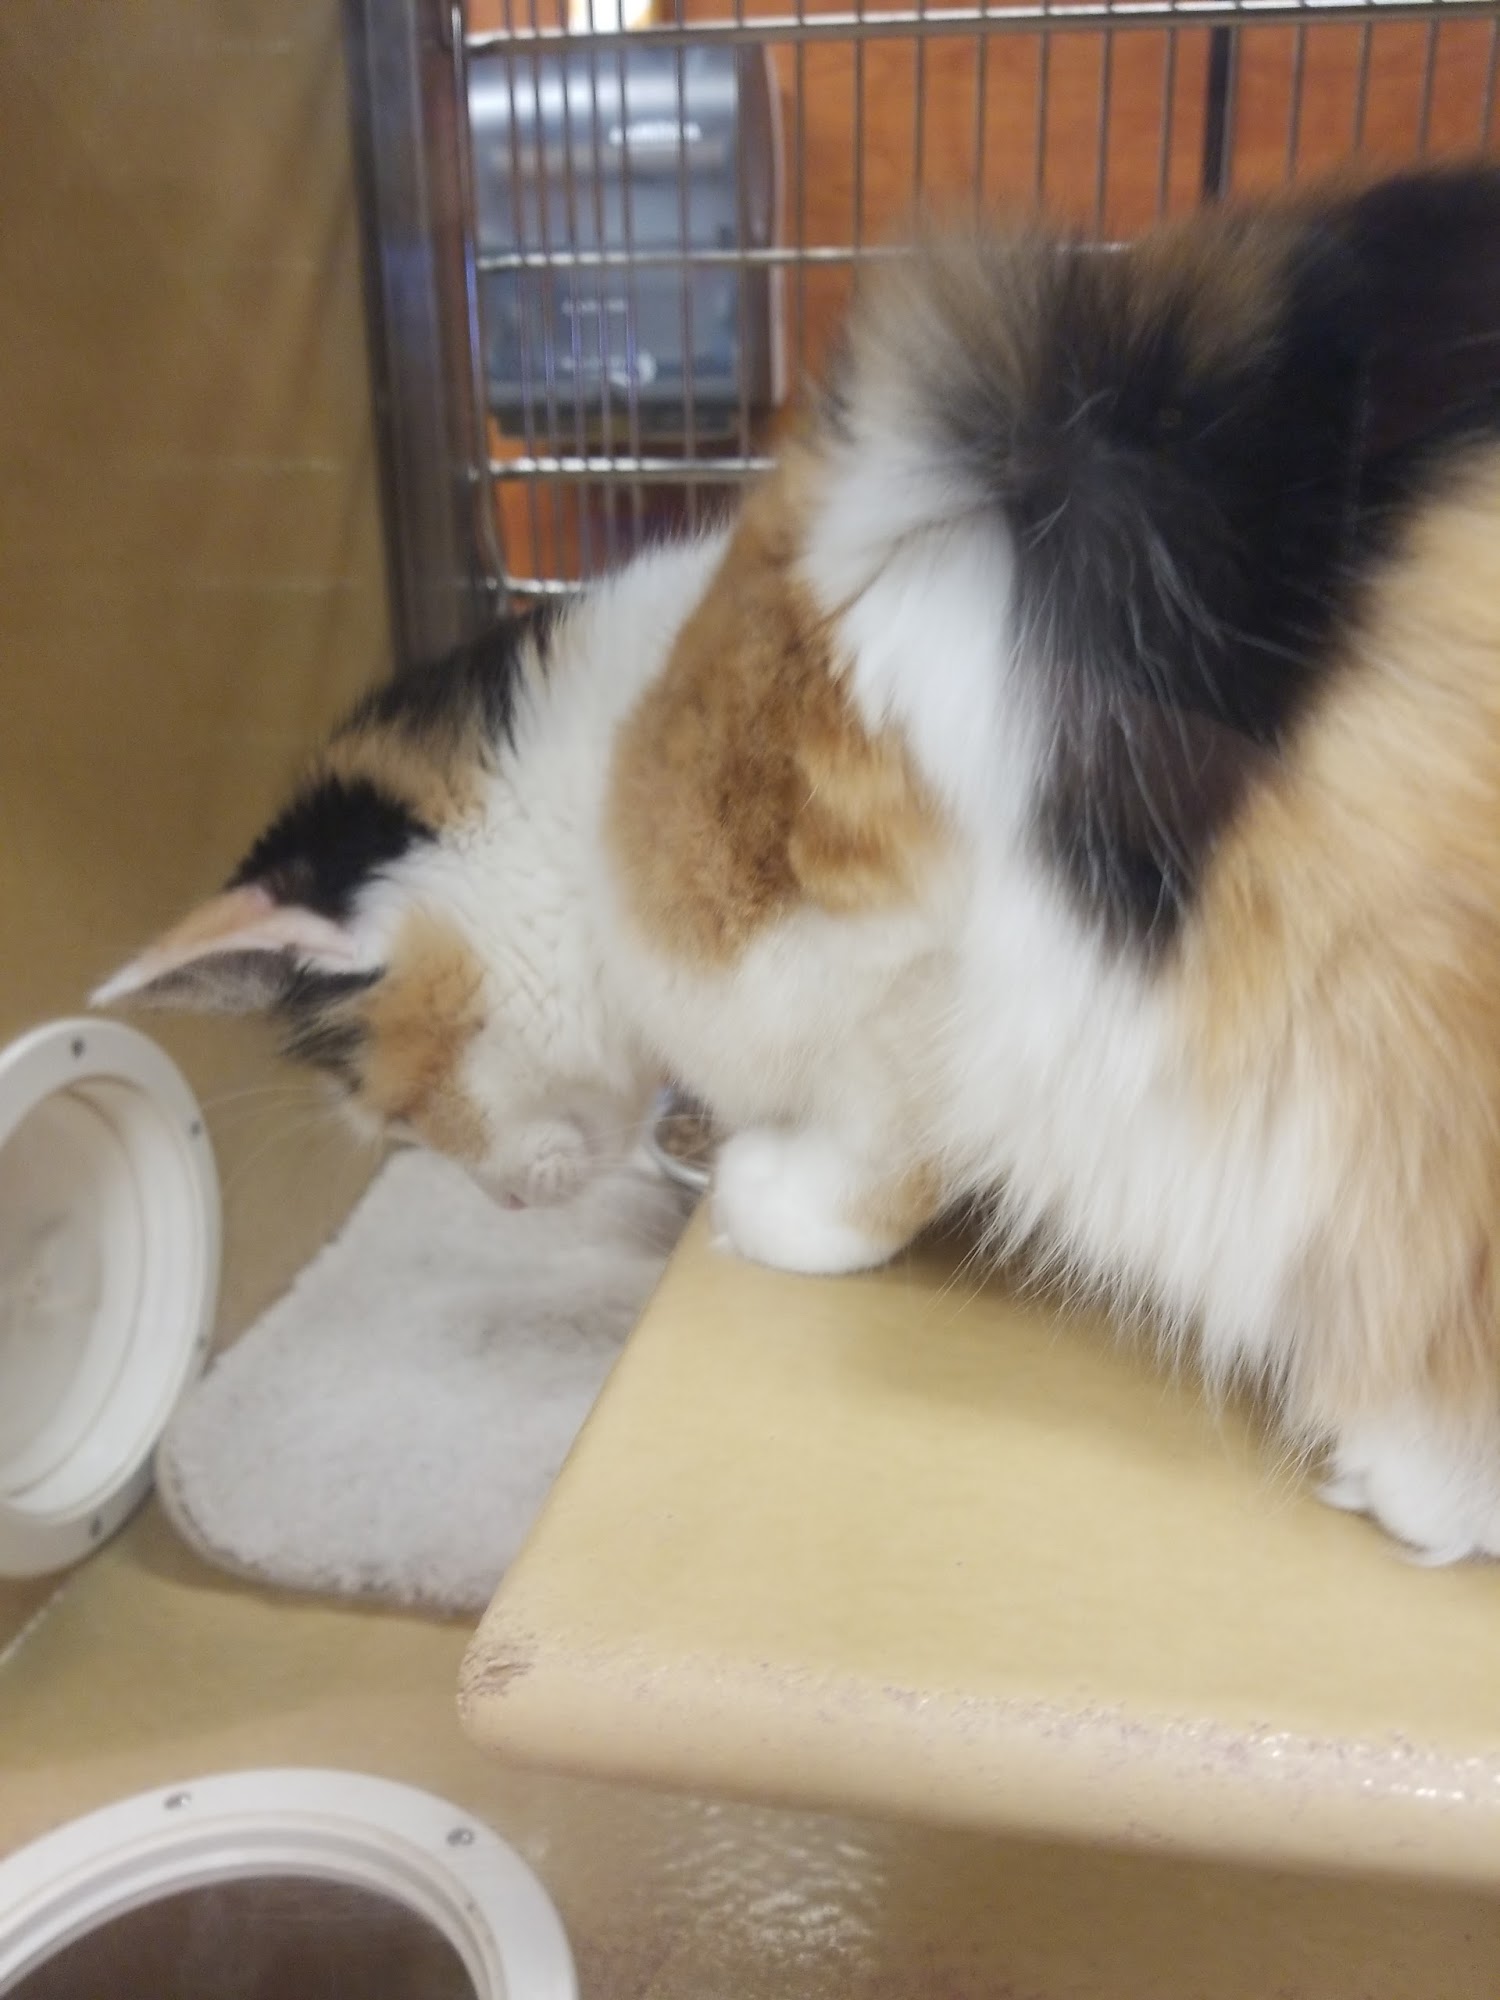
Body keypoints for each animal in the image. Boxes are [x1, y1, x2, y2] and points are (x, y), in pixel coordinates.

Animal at [98, 163, 1500, 1561]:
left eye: (394, 1114)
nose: (500, 1209)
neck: (603, 762)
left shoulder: (933, 954)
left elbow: (896, 1127)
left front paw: (773, 1202)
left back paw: (1411, 1475)